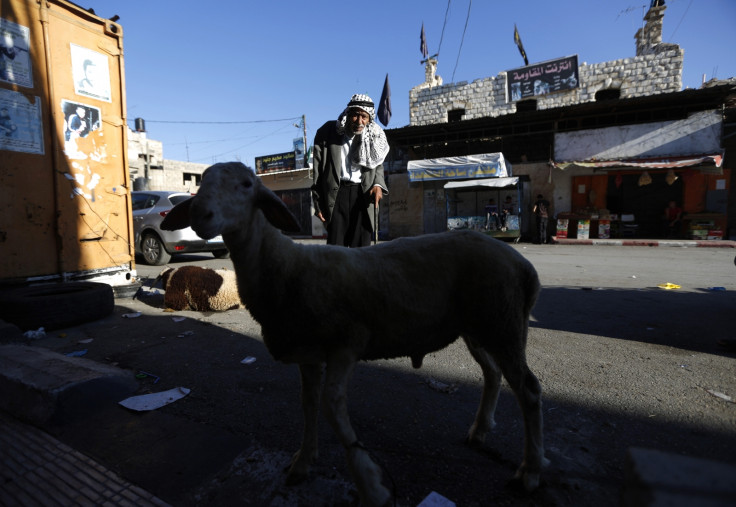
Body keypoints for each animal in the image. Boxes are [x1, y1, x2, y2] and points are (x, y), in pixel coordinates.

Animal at [162, 164, 548, 507]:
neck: (285, 266)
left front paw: (370, 485)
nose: (200, 213)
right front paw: (303, 461)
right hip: (479, 327)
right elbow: (308, 405)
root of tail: (523, 265)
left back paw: (529, 473)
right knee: (493, 373)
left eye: (246, 184)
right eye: (201, 183)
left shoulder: (347, 344)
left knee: (528, 389)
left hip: (502, 323)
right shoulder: (309, 354)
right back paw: (480, 430)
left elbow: (332, 406)